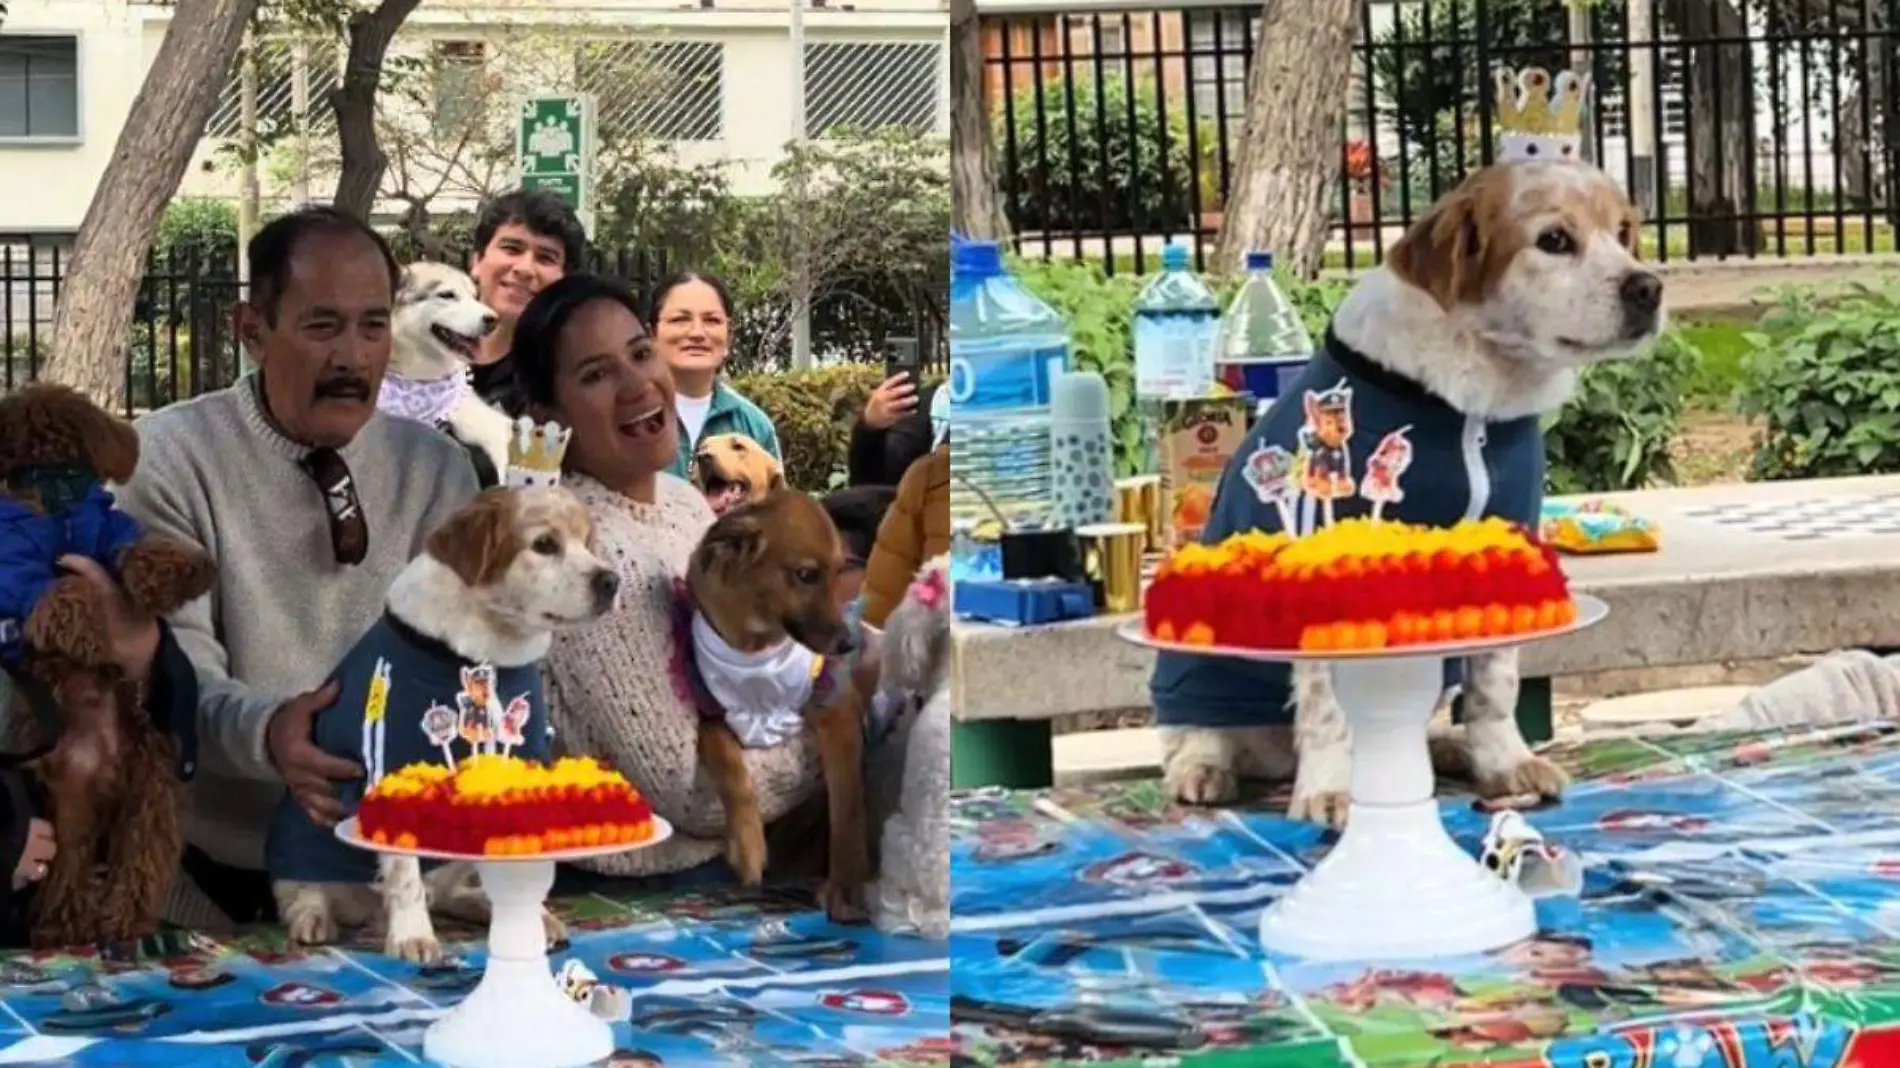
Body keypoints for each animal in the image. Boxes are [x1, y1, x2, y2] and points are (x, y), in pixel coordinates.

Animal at [0, 380, 215, 938]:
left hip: (152, 789)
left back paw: (121, 921)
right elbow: (59, 591)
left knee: (137, 862)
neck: (61, 523)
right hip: (71, 809)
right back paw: (69, 928)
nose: (42, 499)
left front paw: (176, 573)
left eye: (70, 466)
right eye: (19, 469)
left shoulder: (109, 531)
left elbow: (136, 548)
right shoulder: (17, 570)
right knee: (69, 875)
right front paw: (89, 631)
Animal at [264, 482, 623, 957]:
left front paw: (531, 920)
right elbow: (404, 876)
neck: (484, 653)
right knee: (303, 891)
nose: (611, 581)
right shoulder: (390, 771)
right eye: (545, 544)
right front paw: (413, 936)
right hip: (298, 843)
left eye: (587, 542)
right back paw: (313, 918)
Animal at [687, 486, 870, 919]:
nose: (847, 644)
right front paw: (747, 845)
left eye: (839, 572)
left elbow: (848, 809)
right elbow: (731, 768)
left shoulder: (838, 714)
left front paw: (847, 887)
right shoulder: (711, 715)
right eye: (806, 575)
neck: (756, 650)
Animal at [1140, 157, 1664, 824]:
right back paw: (1204, 770)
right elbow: (1327, 707)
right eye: (1554, 240)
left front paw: (1504, 764)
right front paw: (1332, 790)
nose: (1648, 288)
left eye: (1623, 232)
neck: (1474, 398)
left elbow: (1493, 687)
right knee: (1193, 735)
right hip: (1196, 677)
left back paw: (1448, 747)